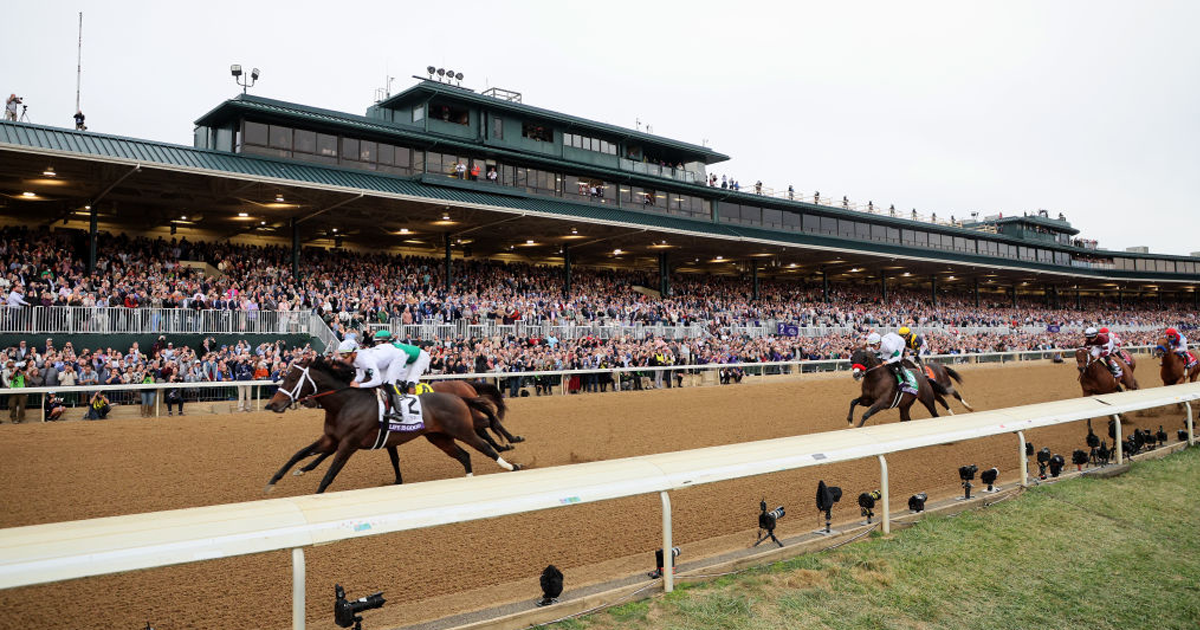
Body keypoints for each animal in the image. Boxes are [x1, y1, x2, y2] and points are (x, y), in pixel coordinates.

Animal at [265, 355, 518, 494]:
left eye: (292, 379)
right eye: (284, 376)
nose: (272, 405)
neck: (346, 403)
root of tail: (460, 395)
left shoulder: (349, 443)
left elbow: (330, 473)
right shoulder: (331, 439)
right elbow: (299, 453)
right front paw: (273, 481)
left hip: (462, 429)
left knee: (486, 444)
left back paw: (511, 463)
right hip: (440, 437)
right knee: (465, 455)